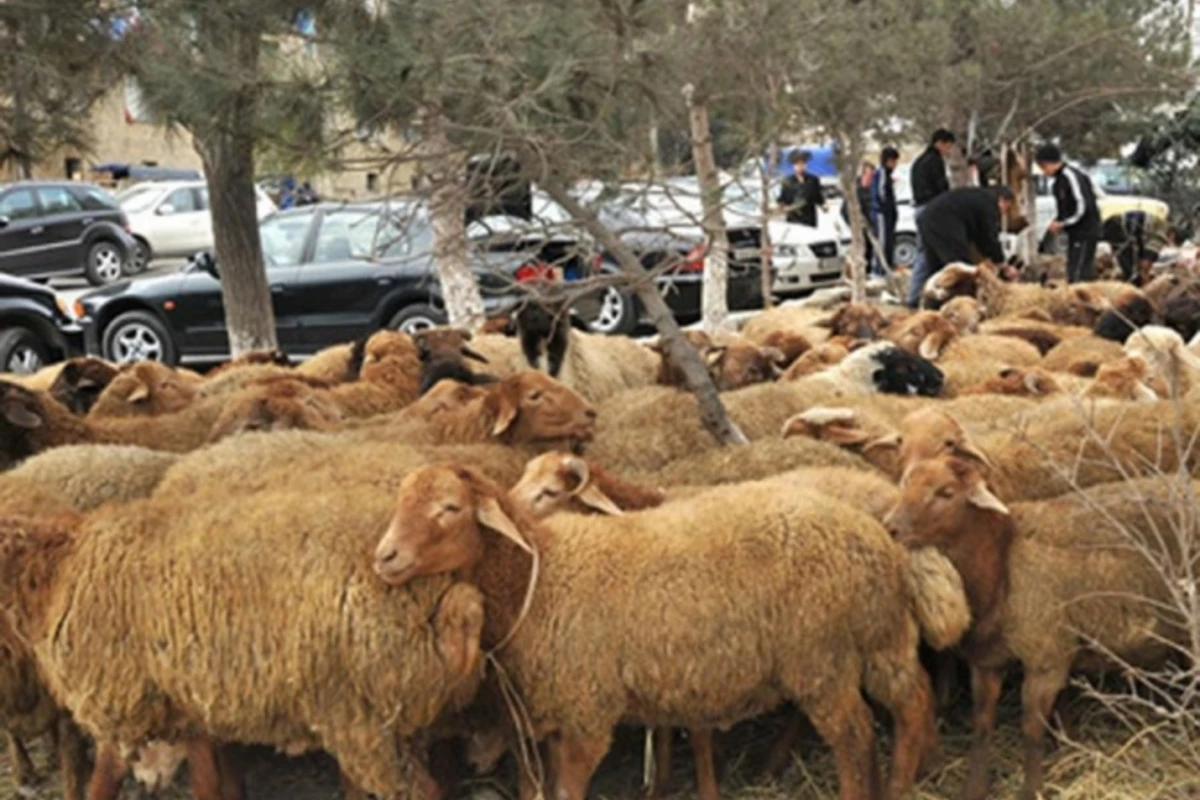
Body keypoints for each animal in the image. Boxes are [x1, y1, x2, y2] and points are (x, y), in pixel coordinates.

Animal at [0, 491, 489, 796]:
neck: (57, 572)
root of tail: (449, 594)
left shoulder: (121, 705)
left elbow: (101, 785)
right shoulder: (186, 708)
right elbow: (209, 785)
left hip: (365, 719)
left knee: (418, 791)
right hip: (399, 716)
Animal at [381, 462, 964, 800]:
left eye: (450, 508)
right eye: (400, 502)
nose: (384, 557)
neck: (540, 576)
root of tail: (878, 536)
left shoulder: (588, 712)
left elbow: (570, 790)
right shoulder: (550, 718)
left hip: (819, 658)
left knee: (854, 735)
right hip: (881, 638)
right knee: (912, 701)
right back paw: (901, 784)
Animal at [883, 455, 1190, 800]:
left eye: (946, 492)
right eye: (906, 483)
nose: (890, 526)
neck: (1002, 564)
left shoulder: (1046, 659)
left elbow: (1031, 730)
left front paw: (1032, 790)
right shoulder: (987, 662)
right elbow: (982, 723)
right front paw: (975, 788)